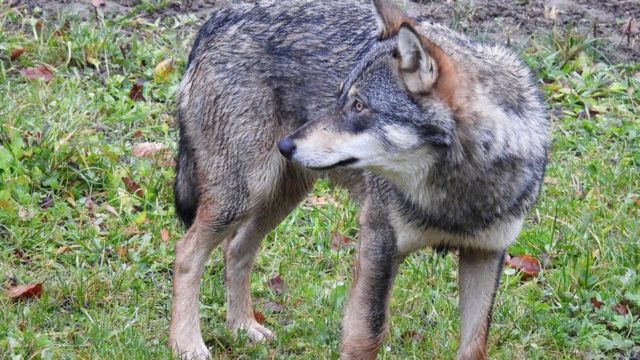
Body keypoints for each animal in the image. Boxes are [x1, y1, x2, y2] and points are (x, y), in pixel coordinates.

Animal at [170, 0, 552, 360]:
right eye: (341, 97)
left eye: (357, 106)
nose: (287, 145)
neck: (456, 195)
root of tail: (222, 16)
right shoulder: (378, 244)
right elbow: (366, 333)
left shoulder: (485, 254)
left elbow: (475, 345)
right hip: (244, 196)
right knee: (186, 252)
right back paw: (187, 343)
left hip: (280, 197)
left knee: (236, 249)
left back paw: (241, 327)